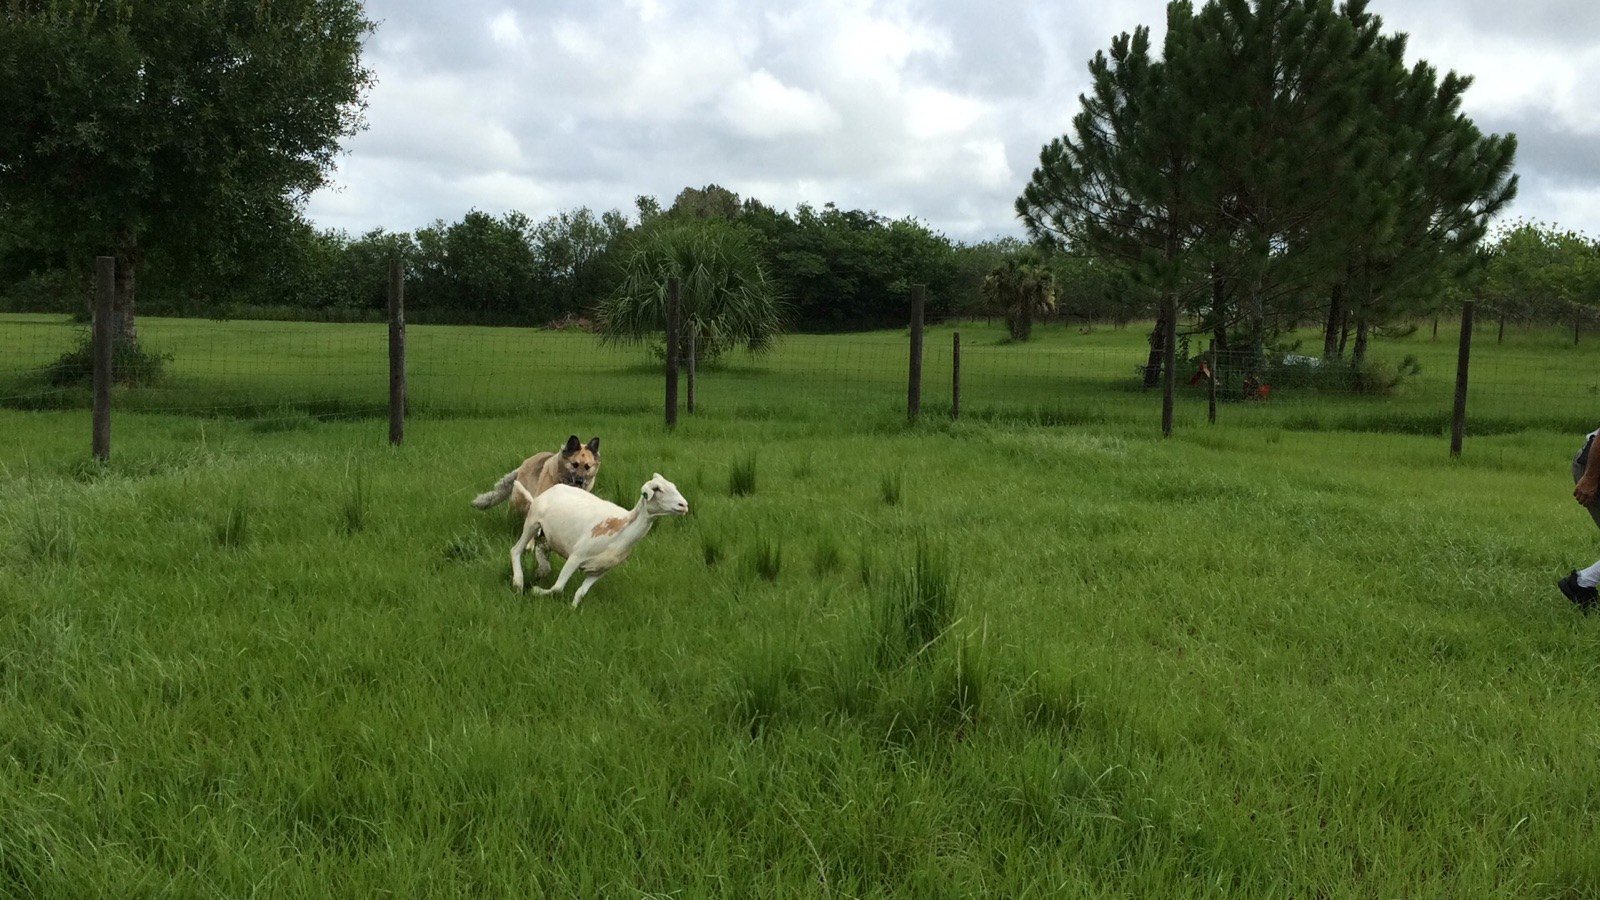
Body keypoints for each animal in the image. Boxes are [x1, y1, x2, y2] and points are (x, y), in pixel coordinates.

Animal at [510, 473, 689, 606]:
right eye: (658, 489)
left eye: (674, 486)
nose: (684, 505)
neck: (621, 530)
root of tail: (549, 491)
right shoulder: (576, 556)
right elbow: (558, 588)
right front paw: (535, 591)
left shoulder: (600, 569)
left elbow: (580, 593)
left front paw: (573, 610)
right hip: (532, 522)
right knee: (515, 550)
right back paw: (518, 583)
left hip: (549, 537)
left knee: (541, 550)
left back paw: (540, 571)